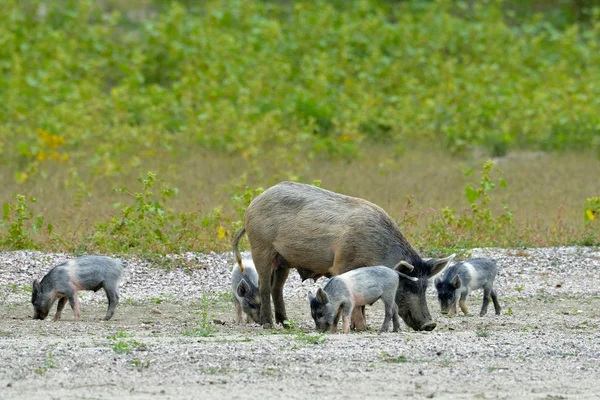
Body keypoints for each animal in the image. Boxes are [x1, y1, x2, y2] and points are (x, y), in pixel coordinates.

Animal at [234, 182, 454, 332]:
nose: (430, 324)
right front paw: (361, 328)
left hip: (283, 260)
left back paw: (286, 324)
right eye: (406, 285)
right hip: (261, 247)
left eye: (425, 287)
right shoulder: (342, 264)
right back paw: (268, 324)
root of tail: (251, 206)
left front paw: (362, 327)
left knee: (276, 287)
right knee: (263, 286)